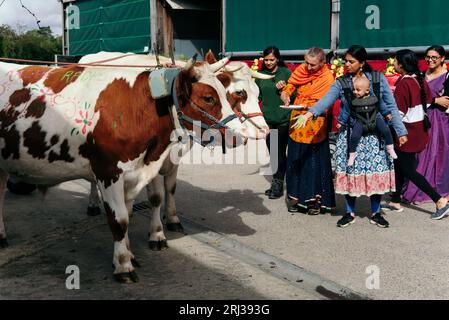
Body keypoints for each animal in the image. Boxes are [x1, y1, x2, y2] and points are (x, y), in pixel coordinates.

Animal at [0, 55, 245, 282]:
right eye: (208, 98)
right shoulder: (108, 172)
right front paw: (123, 265)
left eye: (226, 94)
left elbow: (128, 214)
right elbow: (119, 220)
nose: (240, 136)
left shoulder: (134, 173)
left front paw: (130, 254)